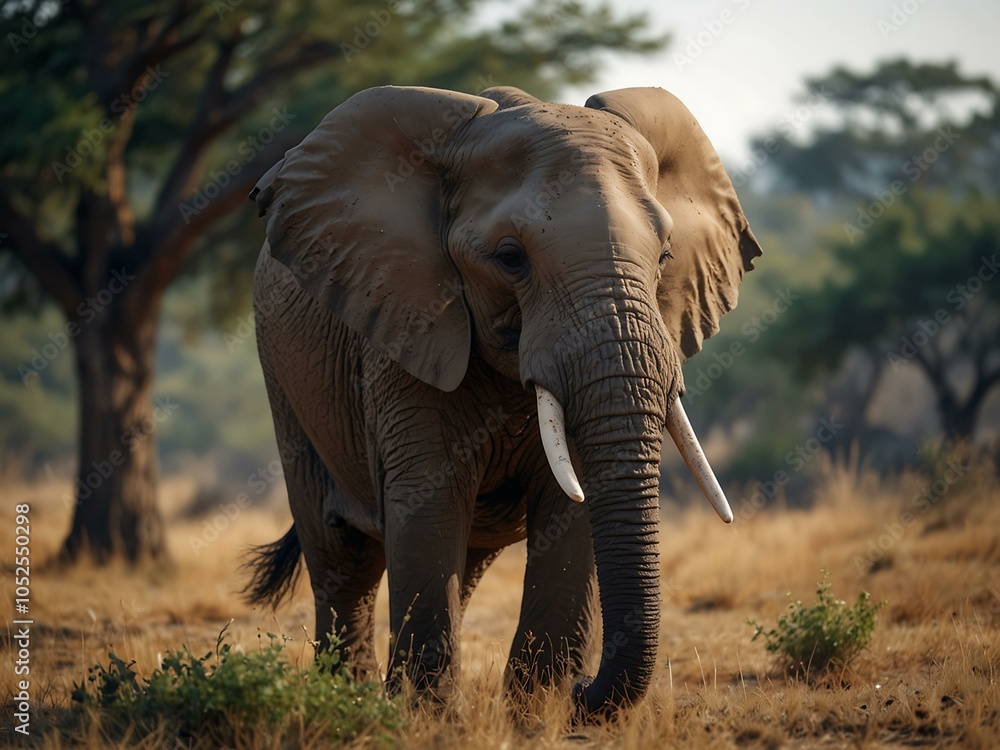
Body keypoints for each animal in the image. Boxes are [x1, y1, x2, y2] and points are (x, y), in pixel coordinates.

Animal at [243, 83, 761, 720]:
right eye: (510, 257)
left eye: (665, 256)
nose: (583, 690)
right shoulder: (408, 325)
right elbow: (429, 503)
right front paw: (430, 721)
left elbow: (570, 513)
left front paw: (535, 714)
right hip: (285, 380)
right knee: (342, 555)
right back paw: (348, 699)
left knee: (461, 561)